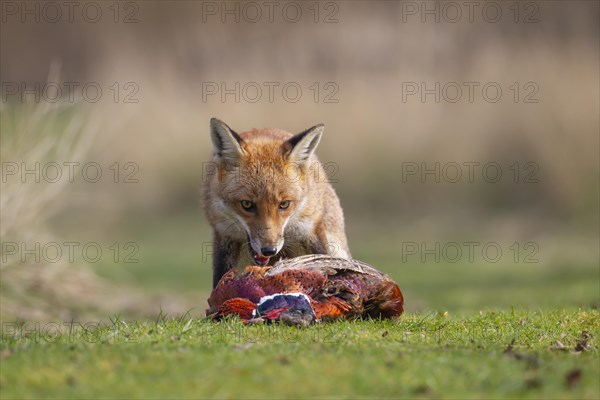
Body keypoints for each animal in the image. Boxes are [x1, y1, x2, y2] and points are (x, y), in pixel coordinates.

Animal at [204, 119, 350, 288]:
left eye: (284, 204)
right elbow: (220, 281)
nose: (269, 250)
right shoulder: (225, 234)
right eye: (246, 204)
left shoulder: (310, 230)